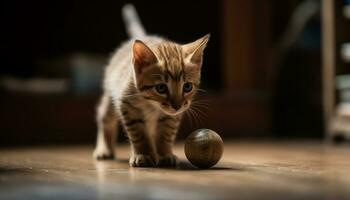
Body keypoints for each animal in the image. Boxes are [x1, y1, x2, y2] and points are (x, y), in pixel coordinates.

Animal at [93, 4, 209, 167]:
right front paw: (144, 154)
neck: (151, 105)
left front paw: (165, 154)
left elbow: (165, 134)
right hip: (111, 97)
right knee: (104, 119)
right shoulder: (127, 106)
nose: (177, 106)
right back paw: (103, 149)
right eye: (161, 88)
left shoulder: (170, 118)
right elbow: (139, 134)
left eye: (187, 87)